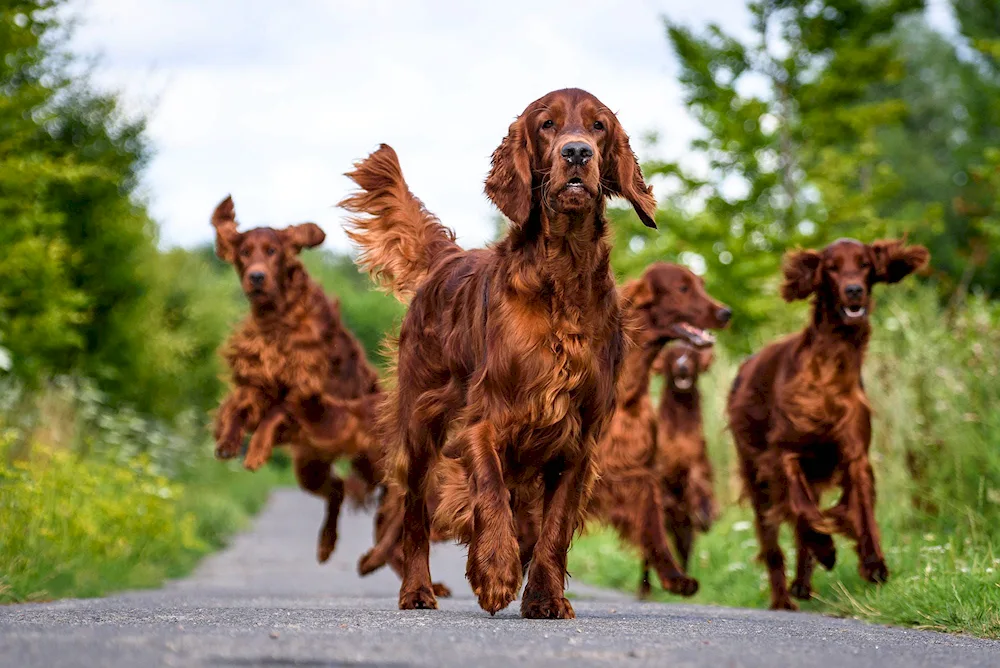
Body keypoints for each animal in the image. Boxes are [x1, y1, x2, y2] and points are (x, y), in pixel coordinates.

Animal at [211, 198, 382, 564]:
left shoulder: (307, 388)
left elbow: (277, 411)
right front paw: (228, 440)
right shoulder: (258, 379)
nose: (256, 277)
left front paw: (256, 452)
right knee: (336, 489)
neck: (276, 317)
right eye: (244, 252)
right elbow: (240, 405)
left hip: (366, 458)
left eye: (272, 250)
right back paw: (326, 545)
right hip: (310, 467)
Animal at [340, 88, 660, 620]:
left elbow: (554, 527)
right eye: (548, 125)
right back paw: (418, 591)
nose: (577, 153)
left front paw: (545, 596)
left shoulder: (578, 439)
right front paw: (494, 572)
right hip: (420, 424)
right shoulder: (482, 424)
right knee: (414, 516)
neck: (562, 275)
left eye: (598, 127)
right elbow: (488, 489)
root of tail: (447, 261)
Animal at [728, 237, 928, 608]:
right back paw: (783, 598)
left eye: (864, 264)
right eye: (832, 267)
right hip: (756, 477)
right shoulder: (783, 454)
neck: (830, 366)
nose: (854, 290)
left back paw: (802, 583)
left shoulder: (854, 454)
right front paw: (826, 548)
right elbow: (803, 511)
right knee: (774, 543)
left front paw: (874, 563)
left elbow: (860, 510)